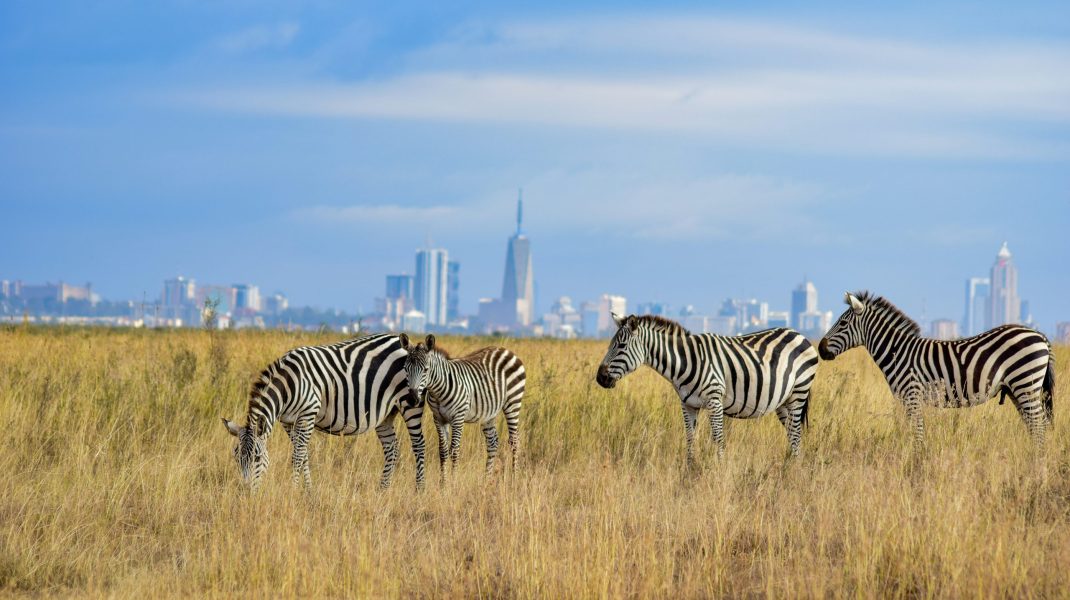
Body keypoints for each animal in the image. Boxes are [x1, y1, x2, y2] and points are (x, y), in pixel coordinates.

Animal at [221, 331, 425, 491]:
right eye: (236, 458)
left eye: (257, 458)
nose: (246, 491)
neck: (288, 385)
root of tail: (398, 340)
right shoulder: (288, 421)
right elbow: (303, 455)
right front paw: (308, 491)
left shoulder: (308, 414)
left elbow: (298, 456)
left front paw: (293, 490)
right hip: (385, 414)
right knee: (392, 448)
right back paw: (383, 489)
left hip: (410, 403)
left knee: (419, 444)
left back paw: (419, 490)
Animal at [400, 331, 524, 477]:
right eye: (405, 369)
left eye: (425, 369)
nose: (412, 399)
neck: (438, 392)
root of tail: (505, 350)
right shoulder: (438, 418)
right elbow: (443, 451)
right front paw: (443, 481)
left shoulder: (458, 417)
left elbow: (454, 451)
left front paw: (453, 480)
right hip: (489, 412)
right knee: (492, 442)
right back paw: (487, 478)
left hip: (513, 402)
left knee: (515, 441)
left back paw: (514, 476)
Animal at [594, 314, 817, 464]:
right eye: (610, 344)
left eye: (621, 346)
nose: (600, 378)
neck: (684, 362)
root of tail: (799, 334)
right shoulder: (688, 405)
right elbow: (690, 439)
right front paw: (690, 471)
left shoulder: (714, 400)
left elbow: (718, 438)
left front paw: (719, 470)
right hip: (783, 401)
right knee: (792, 433)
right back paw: (790, 465)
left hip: (799, 392)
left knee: (796, 433)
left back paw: (793, 470)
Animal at [817, 293, 1052, 447]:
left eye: (843, 323)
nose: (820, 349)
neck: (897, 351)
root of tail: (1040, 335)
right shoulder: (909, 399)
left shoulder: (912, 395)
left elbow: (917, 433)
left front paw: (917, 461)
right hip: (1017, 389)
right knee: (1034, 426)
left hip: (1025, 383)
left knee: (1039, 426)